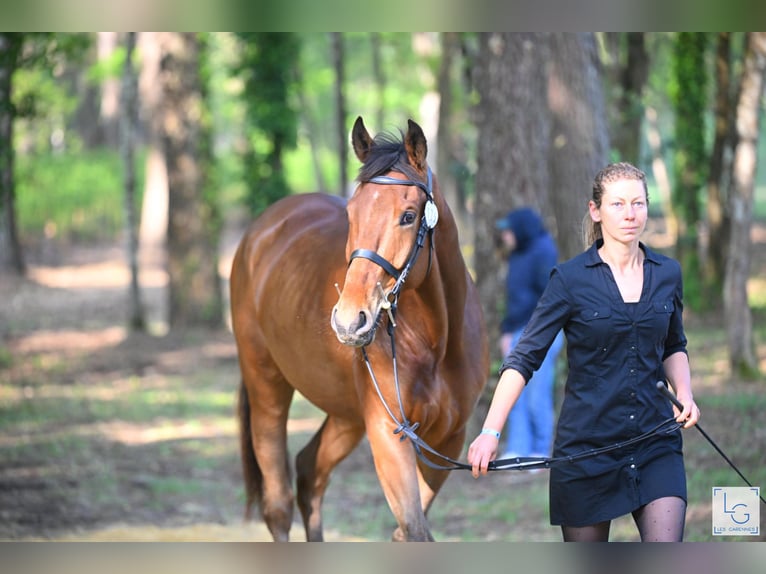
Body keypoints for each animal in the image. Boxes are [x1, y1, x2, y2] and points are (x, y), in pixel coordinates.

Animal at [229, 116, 489, 541]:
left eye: (408, 215)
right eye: (351, 213)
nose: (350, 320)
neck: (437, 341)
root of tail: (259, 233)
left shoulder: (448, 439)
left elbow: (407, 530)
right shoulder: (388, 433)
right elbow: (414, 529)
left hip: (346, 415)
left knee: (310, 475)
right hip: (266, 387)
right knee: (279, 504)